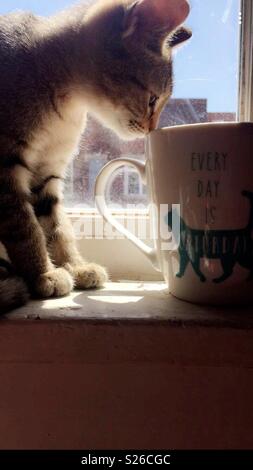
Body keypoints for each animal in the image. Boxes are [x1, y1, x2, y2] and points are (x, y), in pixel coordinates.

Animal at [0, 1, 191, 314]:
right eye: (153, 100)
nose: (151, 129)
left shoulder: (46, 173)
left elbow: (56, 227)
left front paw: (74, 266)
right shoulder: (5, 170)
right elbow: (26, 228)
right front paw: (43, 274)